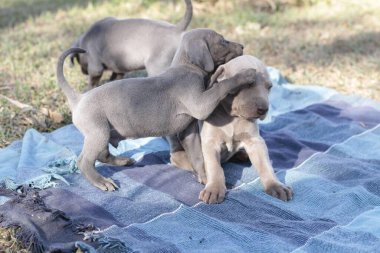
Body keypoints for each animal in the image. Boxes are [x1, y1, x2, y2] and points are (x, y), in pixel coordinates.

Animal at [56, 28, 254, 192]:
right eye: (223, 41)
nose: (243, 46)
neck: (187, 66)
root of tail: (78, 99)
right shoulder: (200, 104)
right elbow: (222, 86)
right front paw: (244, 75)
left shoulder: (188, 132)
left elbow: (198, 157)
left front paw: (205, 178)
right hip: (98, 131)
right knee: (84, 161)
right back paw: (101, 181)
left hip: (103, 132)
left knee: (102, 155)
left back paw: (121, 160)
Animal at [172, 54, 294, 204]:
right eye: (248, 84)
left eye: (269, 87)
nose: (264, 109)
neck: (233, 117)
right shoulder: (210, 143)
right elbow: (214, 167)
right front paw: (214, 189)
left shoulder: (255, 141)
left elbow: (265, 165)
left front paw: (275, 185)